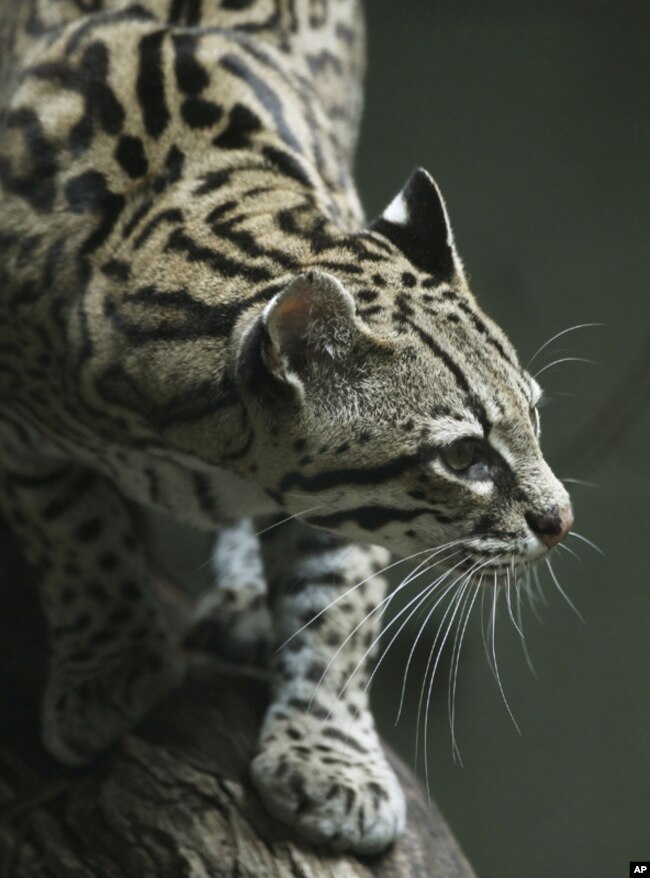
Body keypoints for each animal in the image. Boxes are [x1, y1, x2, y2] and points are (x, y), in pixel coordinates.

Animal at [0, 0, 568, 852]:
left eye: (533, 415)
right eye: (467, 456)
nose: (562, 520)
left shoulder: (331, 500)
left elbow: (337, 610)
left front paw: (329, 760)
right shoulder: (22, 434)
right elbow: (77, 535)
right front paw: (112, 666)